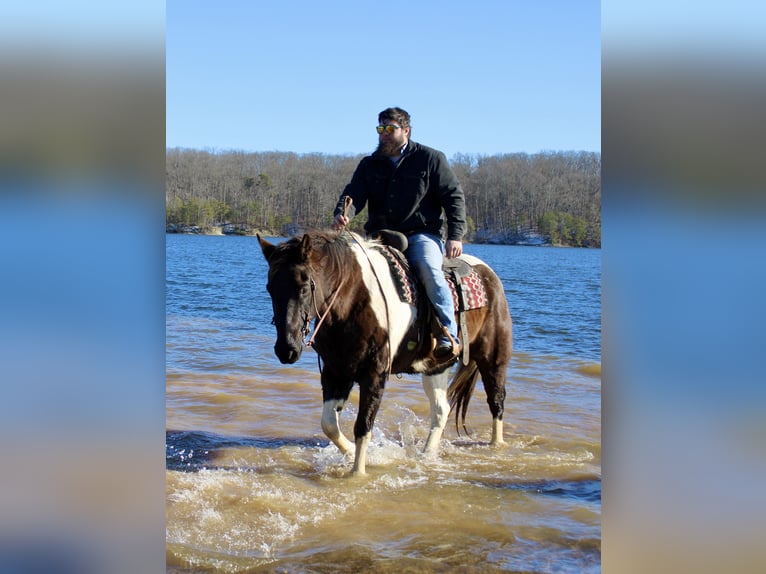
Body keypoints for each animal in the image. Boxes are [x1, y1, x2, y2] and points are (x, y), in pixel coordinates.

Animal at [260, 231, 516, 476]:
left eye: (303, 287)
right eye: (270, 289)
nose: (286, 349)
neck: (353, 299)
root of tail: (489, 274)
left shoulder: (374, 374)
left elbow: (363, 427)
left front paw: (358, 472)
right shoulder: (337, 371)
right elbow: (329, 424)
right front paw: (351, 452)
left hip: (493, 358)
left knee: (496, 400)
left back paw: (496, 445)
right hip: (436, 367)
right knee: (441, 410)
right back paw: (427, 454)